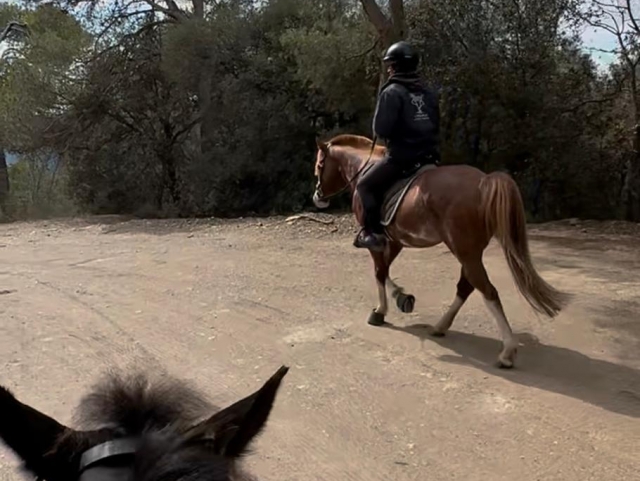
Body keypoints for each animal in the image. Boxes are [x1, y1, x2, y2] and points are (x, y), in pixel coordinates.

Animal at [312, 134, 570, 368]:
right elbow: (385, 272)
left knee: (487, 291)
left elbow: (379, 272)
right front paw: (402, 298)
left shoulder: (377, 240)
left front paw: (382, 310)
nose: (318, 198)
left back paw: (507, 352)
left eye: (320, 165)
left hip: (465, 251)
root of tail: (484, 181)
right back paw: (440, 326)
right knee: (466, 287)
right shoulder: (394, 241)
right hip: (470, 252)